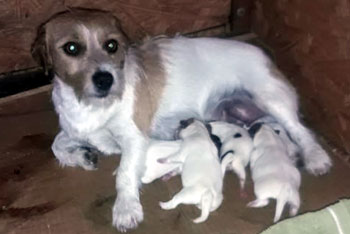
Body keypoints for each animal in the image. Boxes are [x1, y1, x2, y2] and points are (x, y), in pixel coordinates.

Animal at [32, 8, 330, 231]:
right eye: (71, 48)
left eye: (111, 45)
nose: (105, 79)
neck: (90, 105)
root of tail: (263, 53)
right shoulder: (74, 128)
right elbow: (57, 144)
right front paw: (81, 155)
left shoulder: (134, 138)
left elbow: (125, 172)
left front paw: (125, 208)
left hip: (272, 99)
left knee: (301, 131)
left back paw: (316, 158)